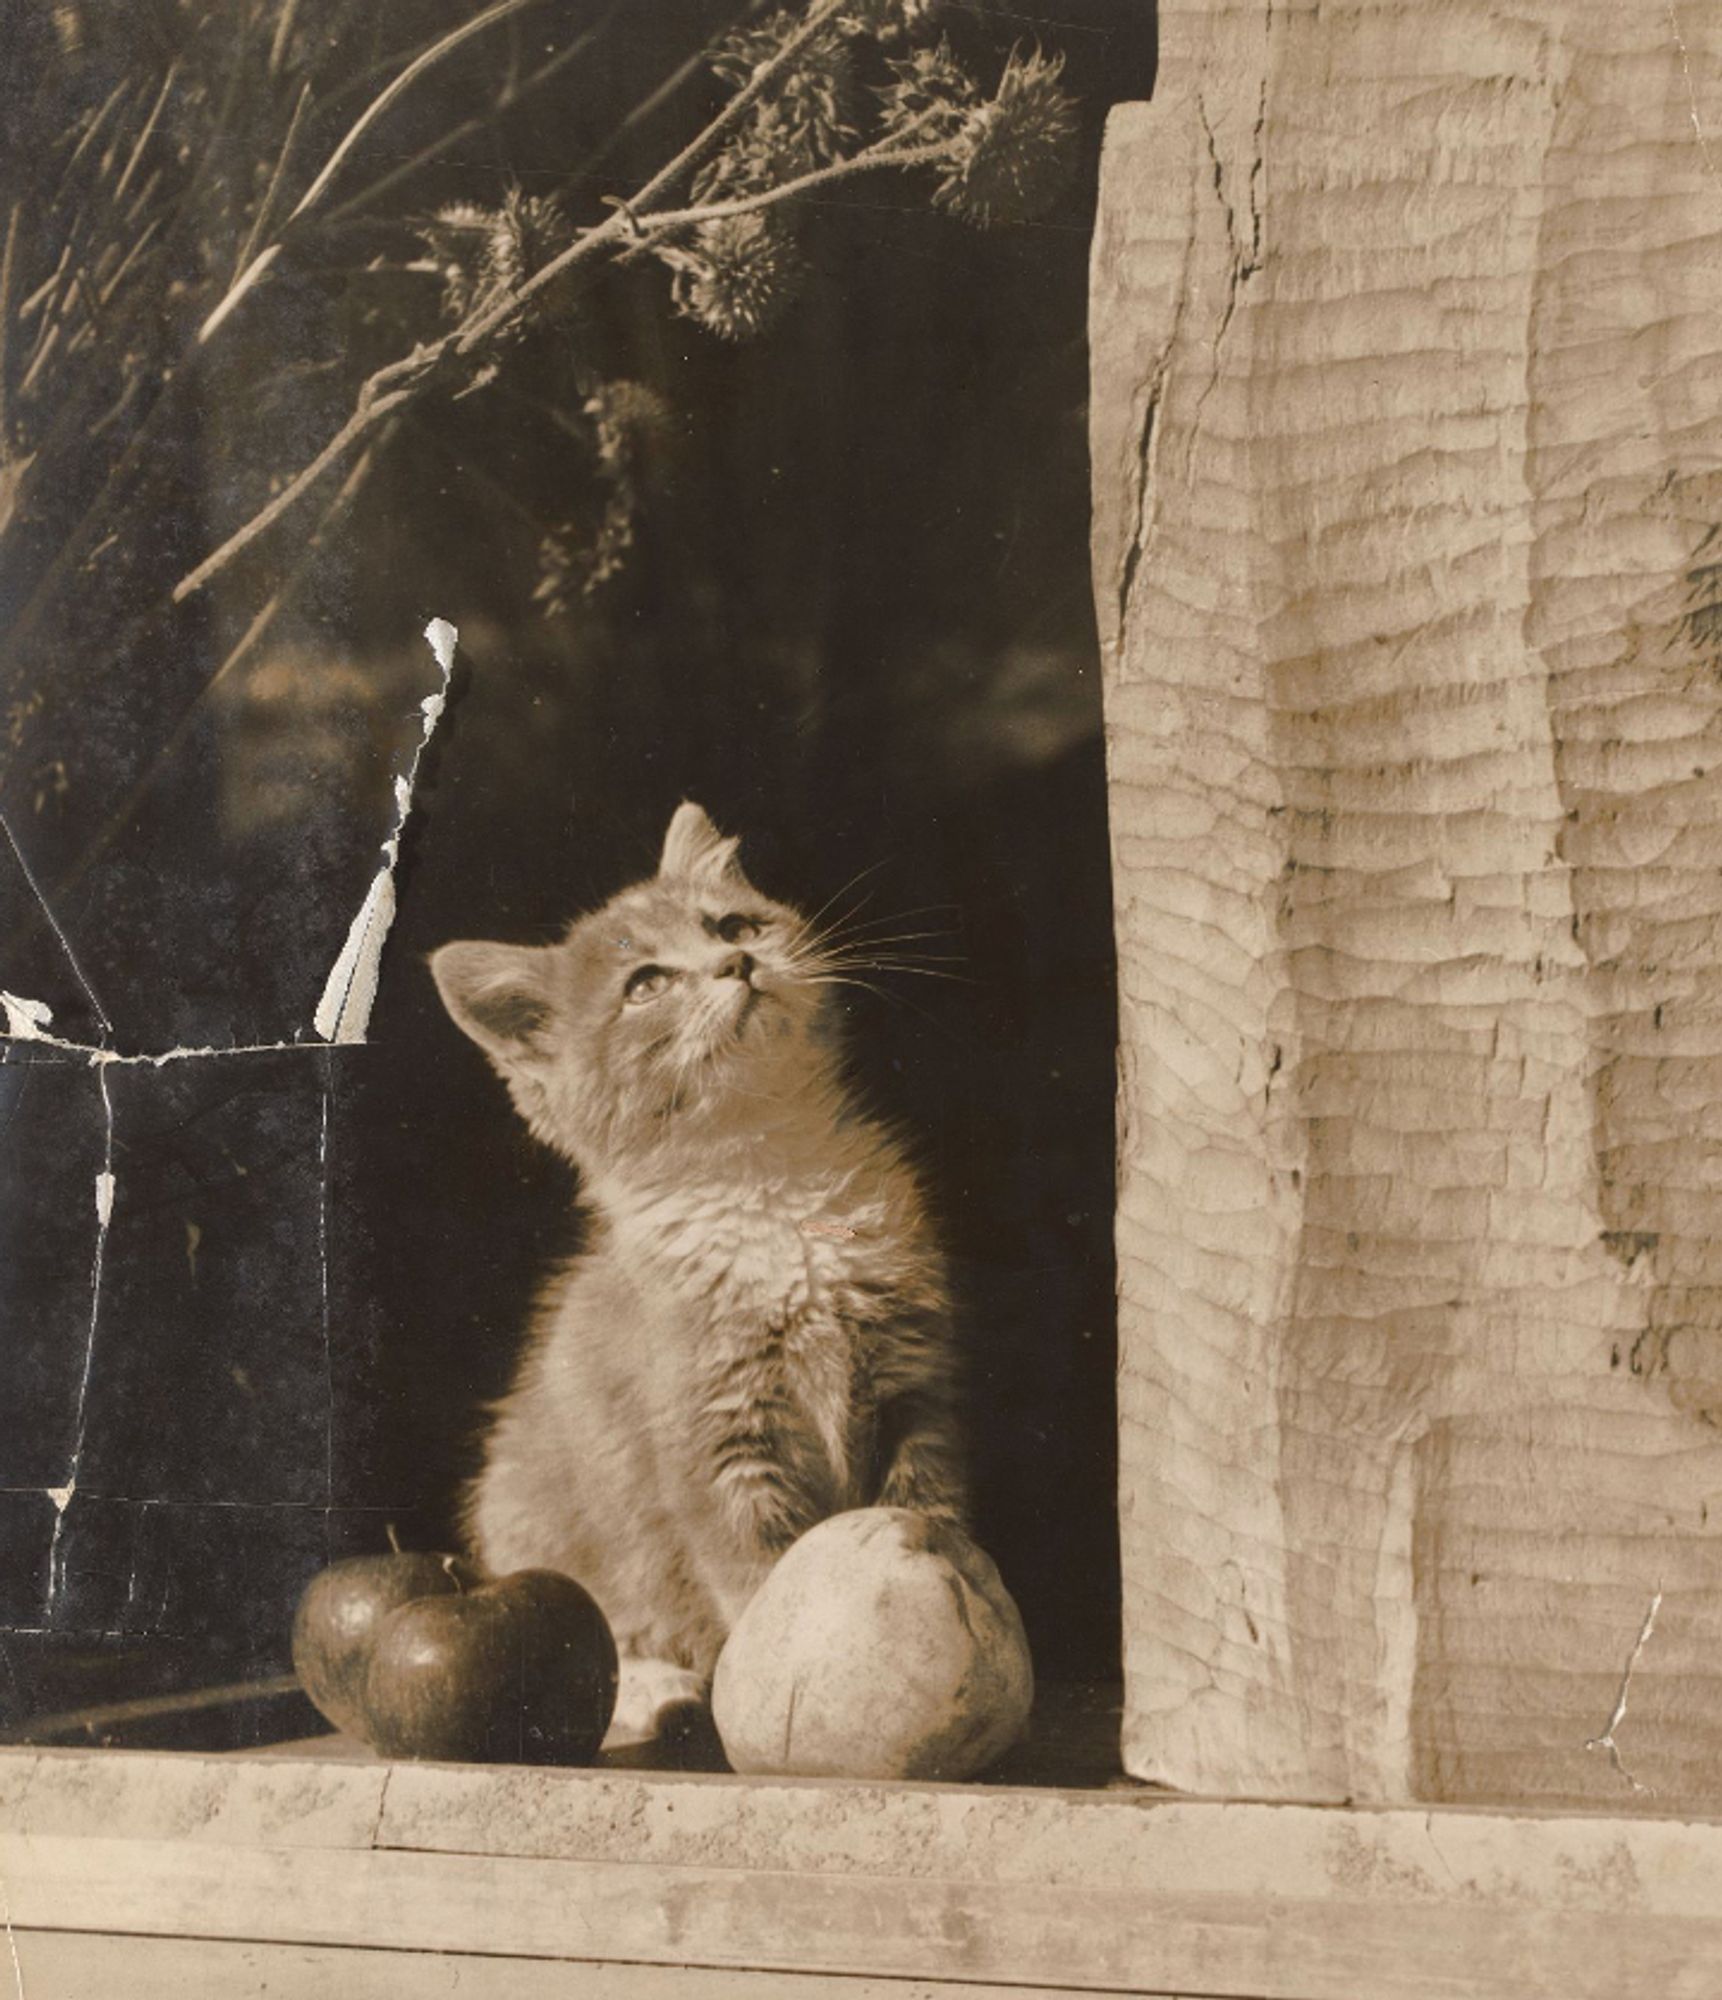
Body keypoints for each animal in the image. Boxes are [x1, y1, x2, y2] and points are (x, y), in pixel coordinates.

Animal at [434, 804, 968, 1744]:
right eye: (645, 985)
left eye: (734, 926)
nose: (737, 963)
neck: (772, 1182)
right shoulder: (710, 1435)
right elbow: (756, 1577)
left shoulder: (914, 1382)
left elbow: (930, 1510)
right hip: (526, 1517)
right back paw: (654, 1692)